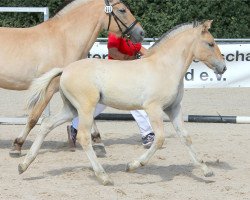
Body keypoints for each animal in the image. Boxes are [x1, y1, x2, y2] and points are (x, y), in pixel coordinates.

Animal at [4, 0, 145, 156]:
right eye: (122, 10)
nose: (141, 33)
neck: (64, 40)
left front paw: (98, 142)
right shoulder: (50, 87)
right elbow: (33, 117)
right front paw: (17, 145)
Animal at [19, 20, 227, 184]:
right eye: (210, 43)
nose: (223, 68)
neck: (165, 67)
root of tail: (65, 70)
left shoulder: (173, 108)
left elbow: (185, 137)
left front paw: (206, 170)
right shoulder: (153, 108)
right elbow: (159, 139)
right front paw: (133, 165)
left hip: (71, 109)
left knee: (47, 124)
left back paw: (23, 165)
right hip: (86, 107)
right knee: (84, 137)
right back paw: (103, 176)